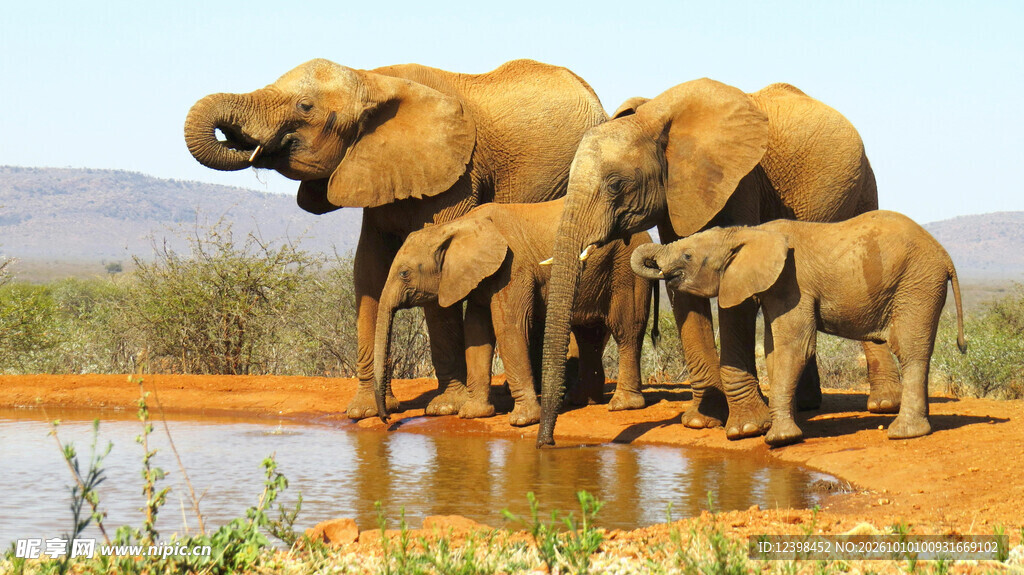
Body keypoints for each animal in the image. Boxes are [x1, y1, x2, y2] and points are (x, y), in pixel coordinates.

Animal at [184, 58, 607, 419]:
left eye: (305, 107)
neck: (372, 80)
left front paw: (444, 408)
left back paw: (570, 397)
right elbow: (368, 271)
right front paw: (365, 411)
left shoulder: (458, 175)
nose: (240, 140)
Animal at [373, 199, 653, 427]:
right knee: (588, 335)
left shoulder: (513, 268)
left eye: (404, 273)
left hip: (627, 270)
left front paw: (523, 420)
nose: (387, 418)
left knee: (626, 331)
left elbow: (510, 327)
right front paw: (473, 414)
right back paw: (582, 401)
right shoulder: (481, 275)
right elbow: (477, 334)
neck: (457, 226)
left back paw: (622, 405)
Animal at [536, 78, 896, 447]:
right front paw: (702, 420)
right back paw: (807, 405)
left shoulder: (741, 182)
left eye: (615, 185)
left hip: (864, 187)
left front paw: (746, 428)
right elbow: (683, 289)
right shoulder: (678, 195)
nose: (546, 443)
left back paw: (883, 405)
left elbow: (735, 290)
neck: (654, 119)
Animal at [631, 210, 967, 445]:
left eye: (688, 256)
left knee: (910, 350)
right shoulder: (775, 289)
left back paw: (903, 433)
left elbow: (795, 348)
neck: (748, 233)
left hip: (917, 283)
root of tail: (946, 256)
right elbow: (773, 352)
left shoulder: (792, 284)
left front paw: (779, 439)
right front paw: (788, 429)